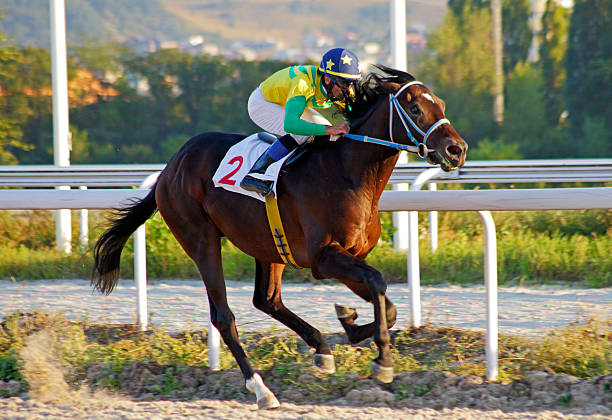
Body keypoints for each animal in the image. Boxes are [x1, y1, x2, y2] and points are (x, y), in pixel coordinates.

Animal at [93, 66, 468, 410]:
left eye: (441, 103)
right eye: (415, 108)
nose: (457, 150)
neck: (348, 173)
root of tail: (170, 167)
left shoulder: (351, 256)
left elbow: (386, 304)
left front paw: (350, 323)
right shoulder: (323, 258)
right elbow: (377, 283)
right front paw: (383, 361)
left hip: (268, 246)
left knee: (267, 300)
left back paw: (321, 349)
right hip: (200, 239)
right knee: (223, 316)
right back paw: (261, 389)